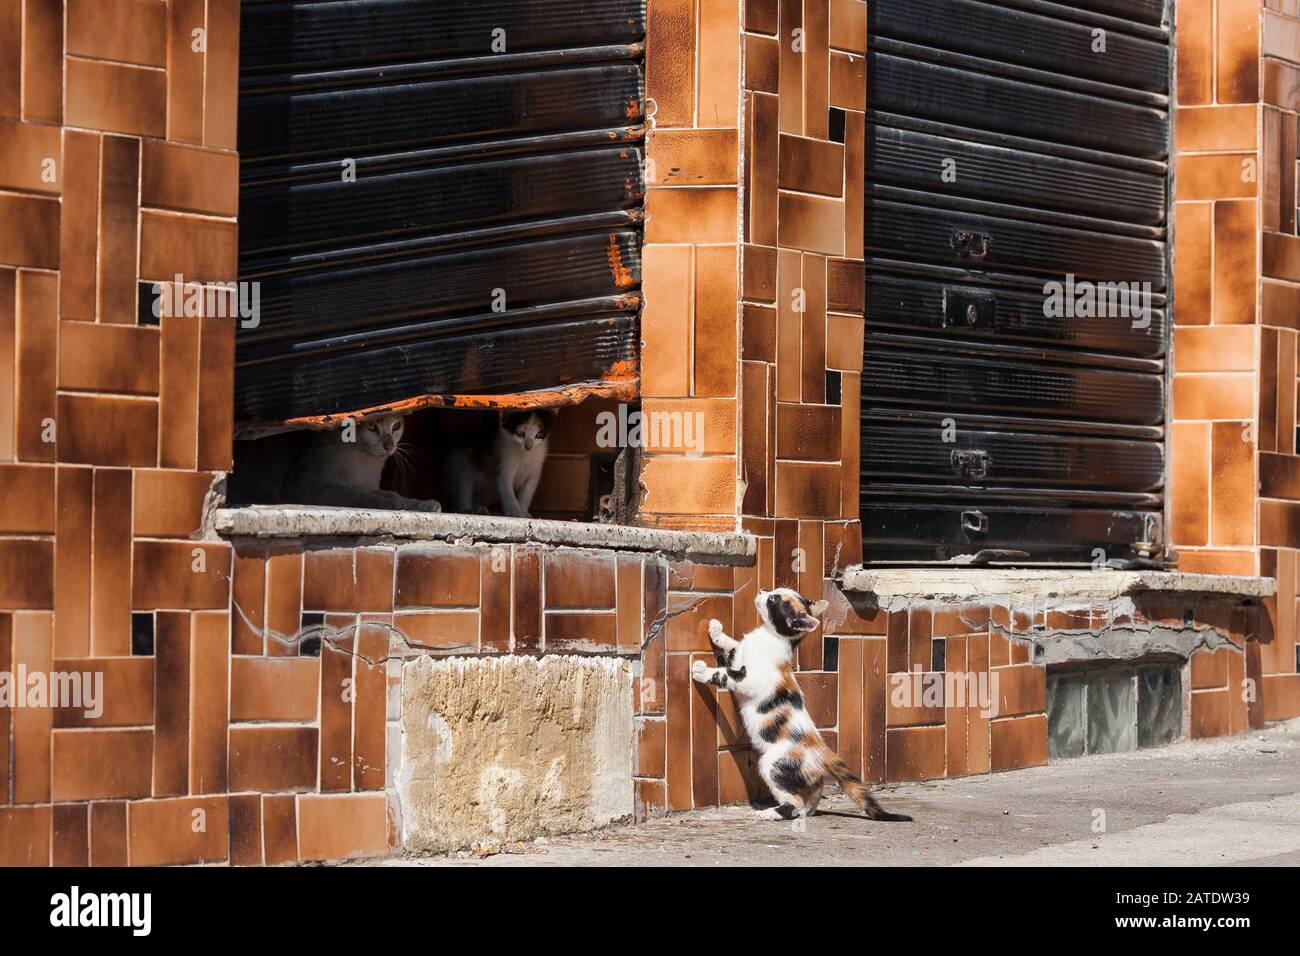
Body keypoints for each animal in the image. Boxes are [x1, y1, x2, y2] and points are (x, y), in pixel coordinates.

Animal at [279, 413, 441, 512]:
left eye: (396, 426)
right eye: (371, 426)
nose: (390, 446)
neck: (360, 460)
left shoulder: (364, 485)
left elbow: (391, 493)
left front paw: (421, 503)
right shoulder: (305, 491)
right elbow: (357, 495)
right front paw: (388, 503)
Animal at [691, 587, 915, 827]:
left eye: (773, 599)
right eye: (773, 591)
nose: (762, 590)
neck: (769, 637)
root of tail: (823, 752)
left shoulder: (750, 679)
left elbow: (726, 673)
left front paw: (702, 671)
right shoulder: (739, 655)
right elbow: (733, 645)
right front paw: (716, 630)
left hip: (772, 764)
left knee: (794, 802)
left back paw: (770, 813)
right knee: (809, 799)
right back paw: (807, 809)